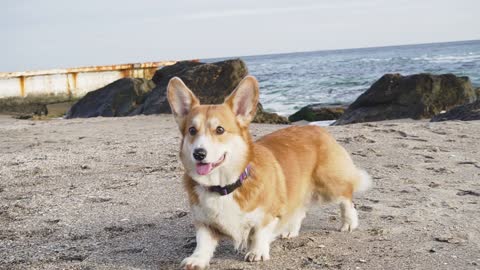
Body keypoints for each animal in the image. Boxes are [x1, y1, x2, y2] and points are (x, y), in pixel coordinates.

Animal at [167, 75, 374, 268]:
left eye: (219, 130)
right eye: (192, 130)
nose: (199, 153)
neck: (224, 186)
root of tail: (317, 128)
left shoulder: (268, 213)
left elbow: (260, 232)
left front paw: (257, 252)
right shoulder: (204, 222)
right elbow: (203, 242)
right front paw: (197, 259)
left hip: (329, 184)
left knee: (347, 198)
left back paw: (349, 223)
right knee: (300, 208)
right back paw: (290, 230)